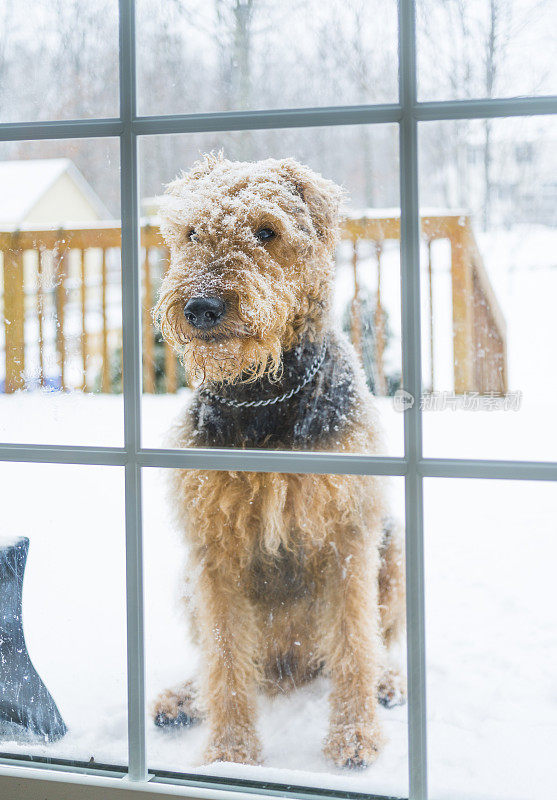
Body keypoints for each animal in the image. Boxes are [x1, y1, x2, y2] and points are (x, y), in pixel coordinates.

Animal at [152, 155, 404, 768]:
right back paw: (184, 698)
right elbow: (224, 660)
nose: (201, 308)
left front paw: (354, 738)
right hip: (189, 584)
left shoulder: (346, 536)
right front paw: (230, 755)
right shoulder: (213, 551)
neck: (263, 400)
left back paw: (386, 683)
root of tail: (290, 668)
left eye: (267, 231)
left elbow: (355, 643)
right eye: (190, 232)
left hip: (392, 550)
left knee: (375, 642)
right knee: (229, 664)